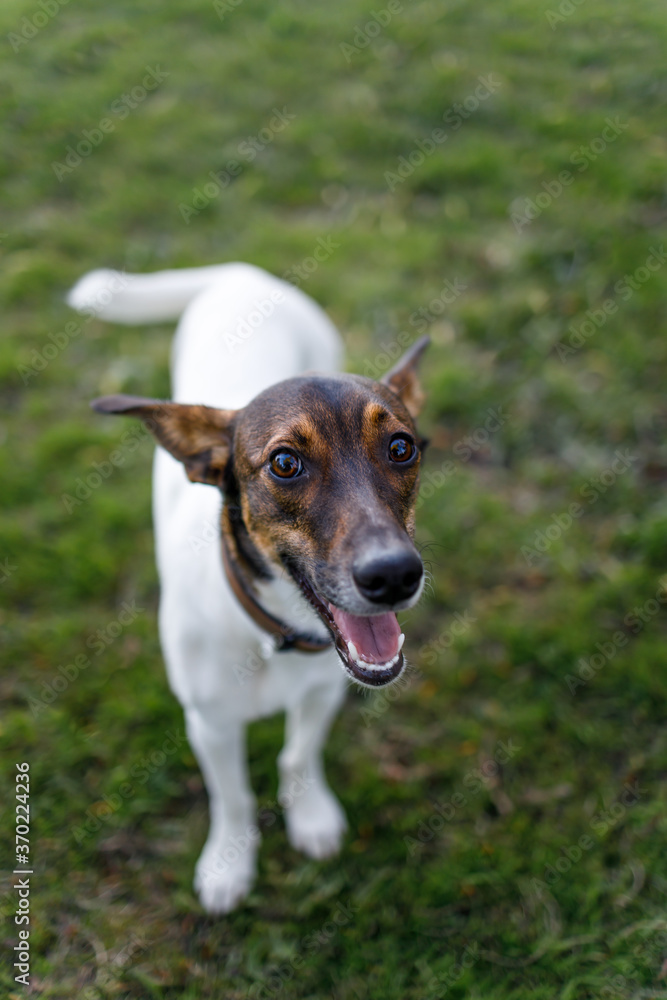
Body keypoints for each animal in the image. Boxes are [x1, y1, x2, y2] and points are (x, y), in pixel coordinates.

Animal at [66, 264, 428, 916]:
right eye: (284, 463)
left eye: (401, 447)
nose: (393, 575)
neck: (273, 630)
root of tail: (240, 272)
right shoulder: (209, 724)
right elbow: (231, 796)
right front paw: (228, 863)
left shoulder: (321, 694)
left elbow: (298, 756)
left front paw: (311, 816)